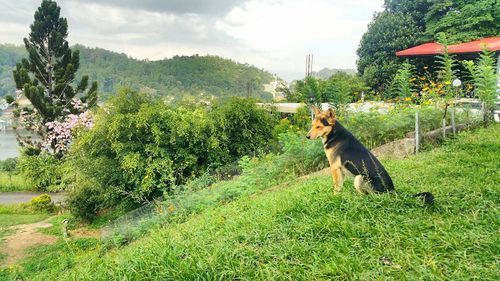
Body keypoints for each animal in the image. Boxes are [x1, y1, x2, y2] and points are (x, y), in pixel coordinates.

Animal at [304, 105, 434, 201]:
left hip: (359, 178)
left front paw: (335, 198)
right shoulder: (340, 170)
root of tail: (392, 190)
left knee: (372, 198)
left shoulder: (335, 167)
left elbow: (336, 187)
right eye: (312, 126)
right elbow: (339, 186)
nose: (307, 137)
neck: (334, 134)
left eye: (319, 127)